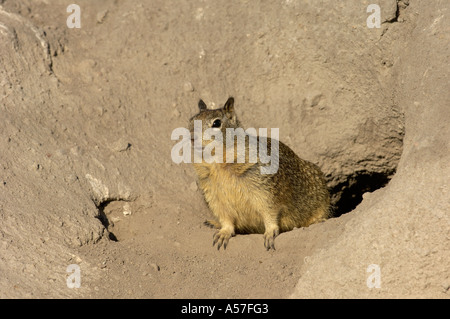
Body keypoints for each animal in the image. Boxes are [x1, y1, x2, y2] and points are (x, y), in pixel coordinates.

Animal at [188, 97, 328, 250]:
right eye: (191, 120)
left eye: (217, 123)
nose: (192, 138)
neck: (218, 164)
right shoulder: (214, 196)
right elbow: (226, 219)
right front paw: (223, 232)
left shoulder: (266, 191)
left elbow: (270, 212)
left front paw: (270, 232)